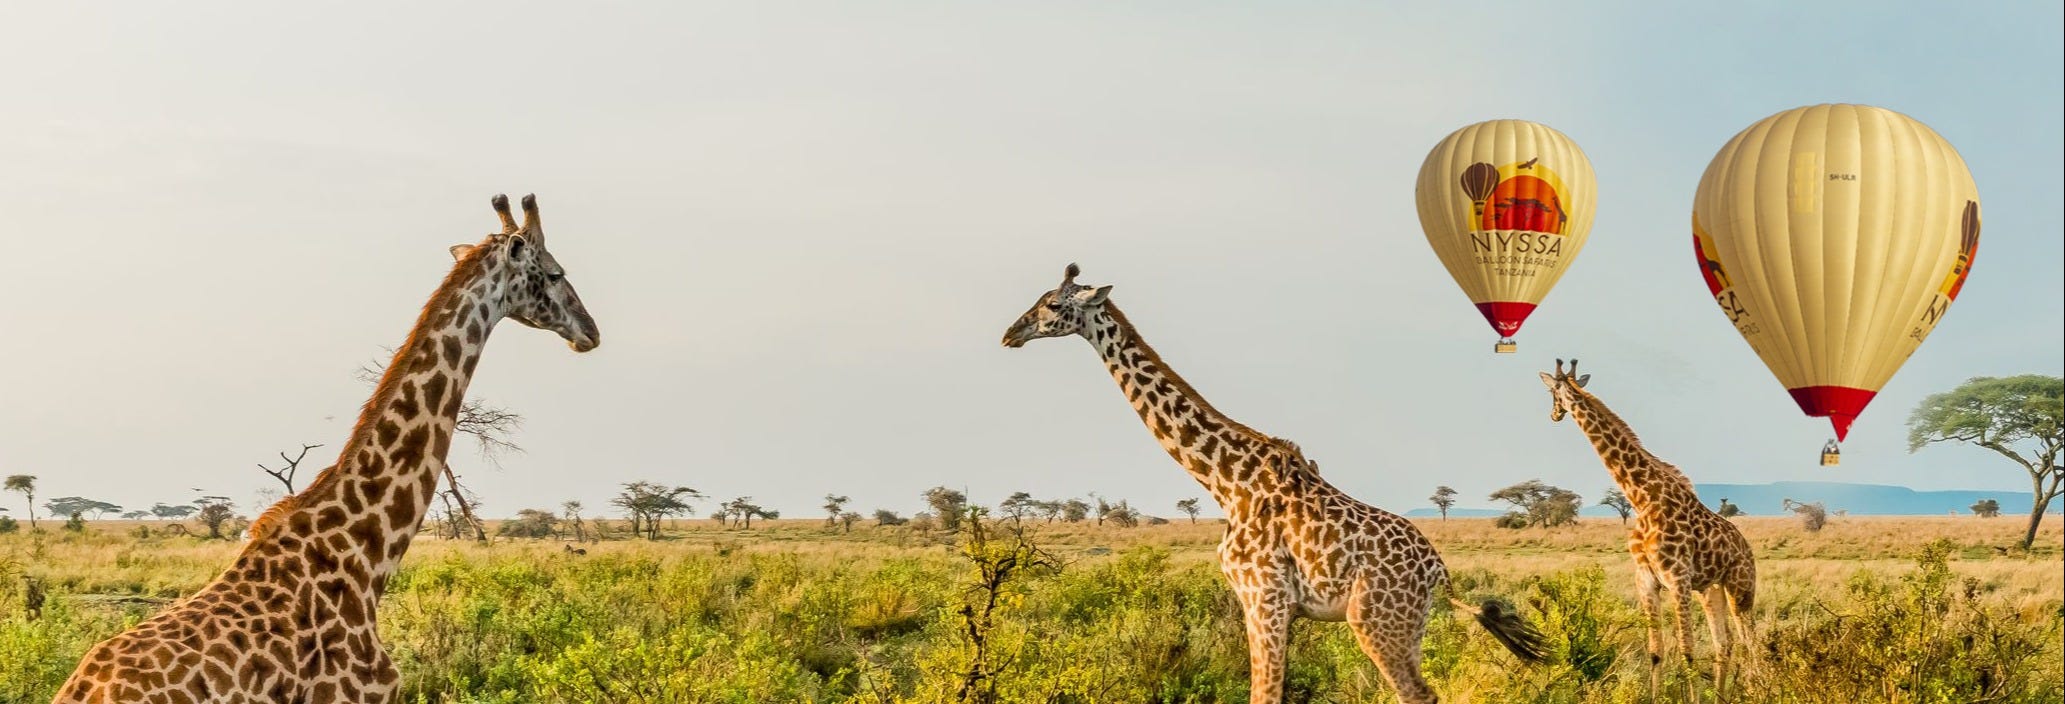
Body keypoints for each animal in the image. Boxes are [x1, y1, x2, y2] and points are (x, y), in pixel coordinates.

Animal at [1007, 263, 1544, 701]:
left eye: (1052, 304)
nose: (1011, 332)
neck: (1224, 481)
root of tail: (1440, 573)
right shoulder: (1267, 603)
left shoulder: (1263, 596)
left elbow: (1263, 694)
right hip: (1406, 627)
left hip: (1377, 622)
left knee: (1418, 694)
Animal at [1536, 359, 1759, 697]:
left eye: (1552, 392)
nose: (1553, 414)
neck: (1641, 497)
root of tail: (1747, 549)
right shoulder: (1646, 579)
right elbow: (1656, 651)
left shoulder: (1678, 578)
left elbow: (1687, 650)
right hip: (1710, 590)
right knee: (1725, 644)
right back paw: (1723, 696)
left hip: (1740, 587)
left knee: (1750, 642)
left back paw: (1758, 690)